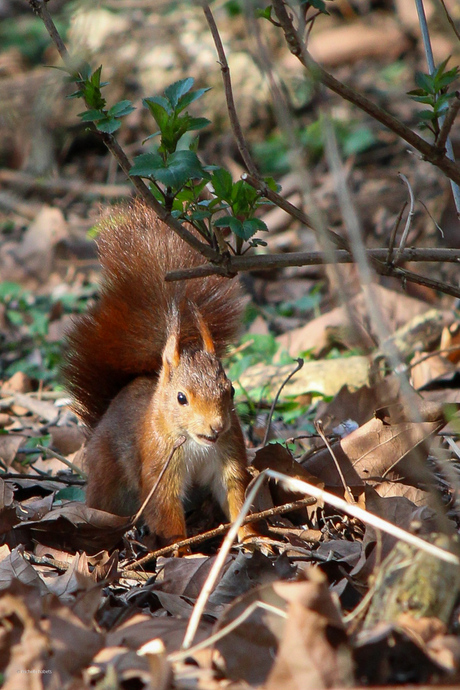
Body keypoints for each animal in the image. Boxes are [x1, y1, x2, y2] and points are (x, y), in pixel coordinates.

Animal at [62, 200, 262, 548]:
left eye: (231, 390)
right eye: (181, 398)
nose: (217, 426)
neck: (197, 445)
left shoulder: (229, 454)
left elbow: (237, 495)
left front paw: (252, 535)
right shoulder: (159, 466)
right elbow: (165, 510)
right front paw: (182, 549)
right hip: (109, 483)